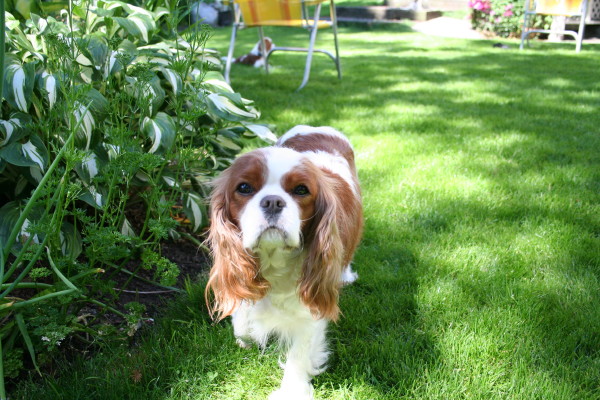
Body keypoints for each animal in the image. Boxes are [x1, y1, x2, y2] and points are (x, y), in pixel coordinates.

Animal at [206, 126, 364, 400]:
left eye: (301, 190)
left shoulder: (311, 306)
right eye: (244, 187)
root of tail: (317, 128)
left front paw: (292, 390)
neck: (273, 259)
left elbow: (299, 353)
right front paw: (245, 333)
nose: (272, 201)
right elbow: (242, 316)